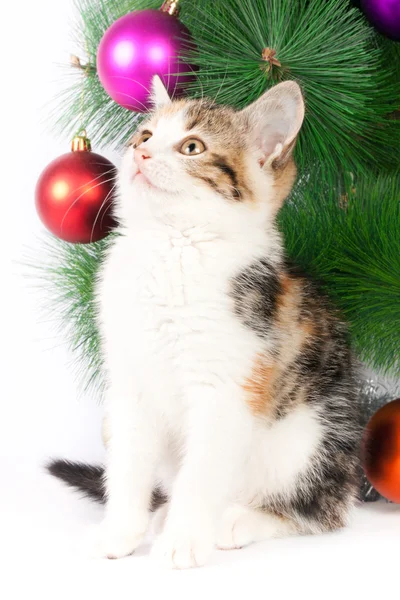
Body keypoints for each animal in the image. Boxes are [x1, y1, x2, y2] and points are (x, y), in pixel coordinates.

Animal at [48, 77, 360, 568]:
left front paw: (184, 541)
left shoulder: (228, 388)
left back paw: (237, 520)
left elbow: (202, 472)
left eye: (192, 147)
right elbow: (128, 462)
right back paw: (162, 515)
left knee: (322, 510)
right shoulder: (129, 383)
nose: (140, 153)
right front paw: (120, 532)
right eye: (145, 135)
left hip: (312, 436)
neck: (170, 245)